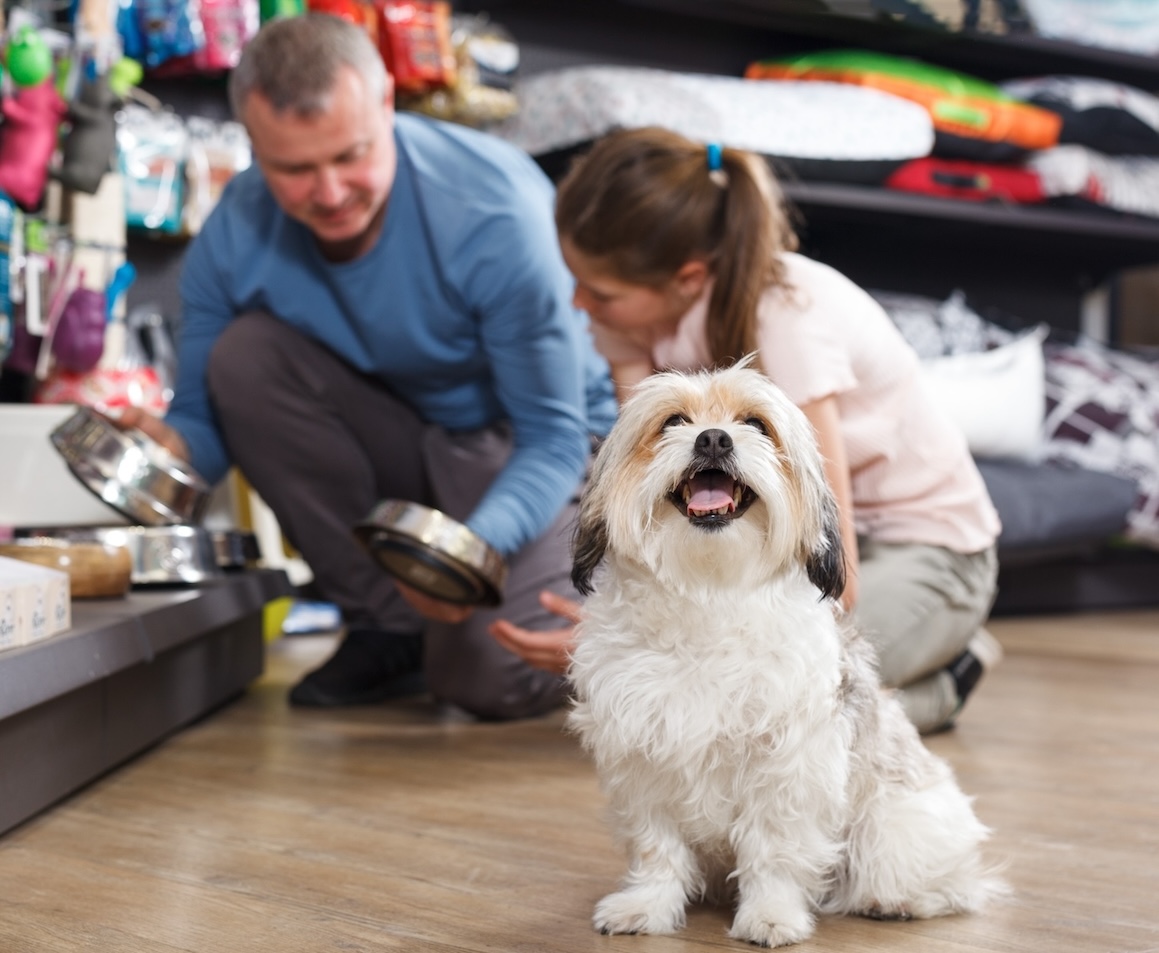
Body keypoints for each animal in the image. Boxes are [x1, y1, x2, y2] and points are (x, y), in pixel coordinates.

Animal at [565, 364, 1001, 946]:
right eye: (673, 422)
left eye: (755, 424)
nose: (713, 438)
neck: (708, 593)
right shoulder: (642, 760)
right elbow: (657, 849)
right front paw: (646, 905)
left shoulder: (788, 765)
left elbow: (773, 851)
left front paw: (770, 914)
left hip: (893, 829)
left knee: (943, 881)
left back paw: (895, 901)